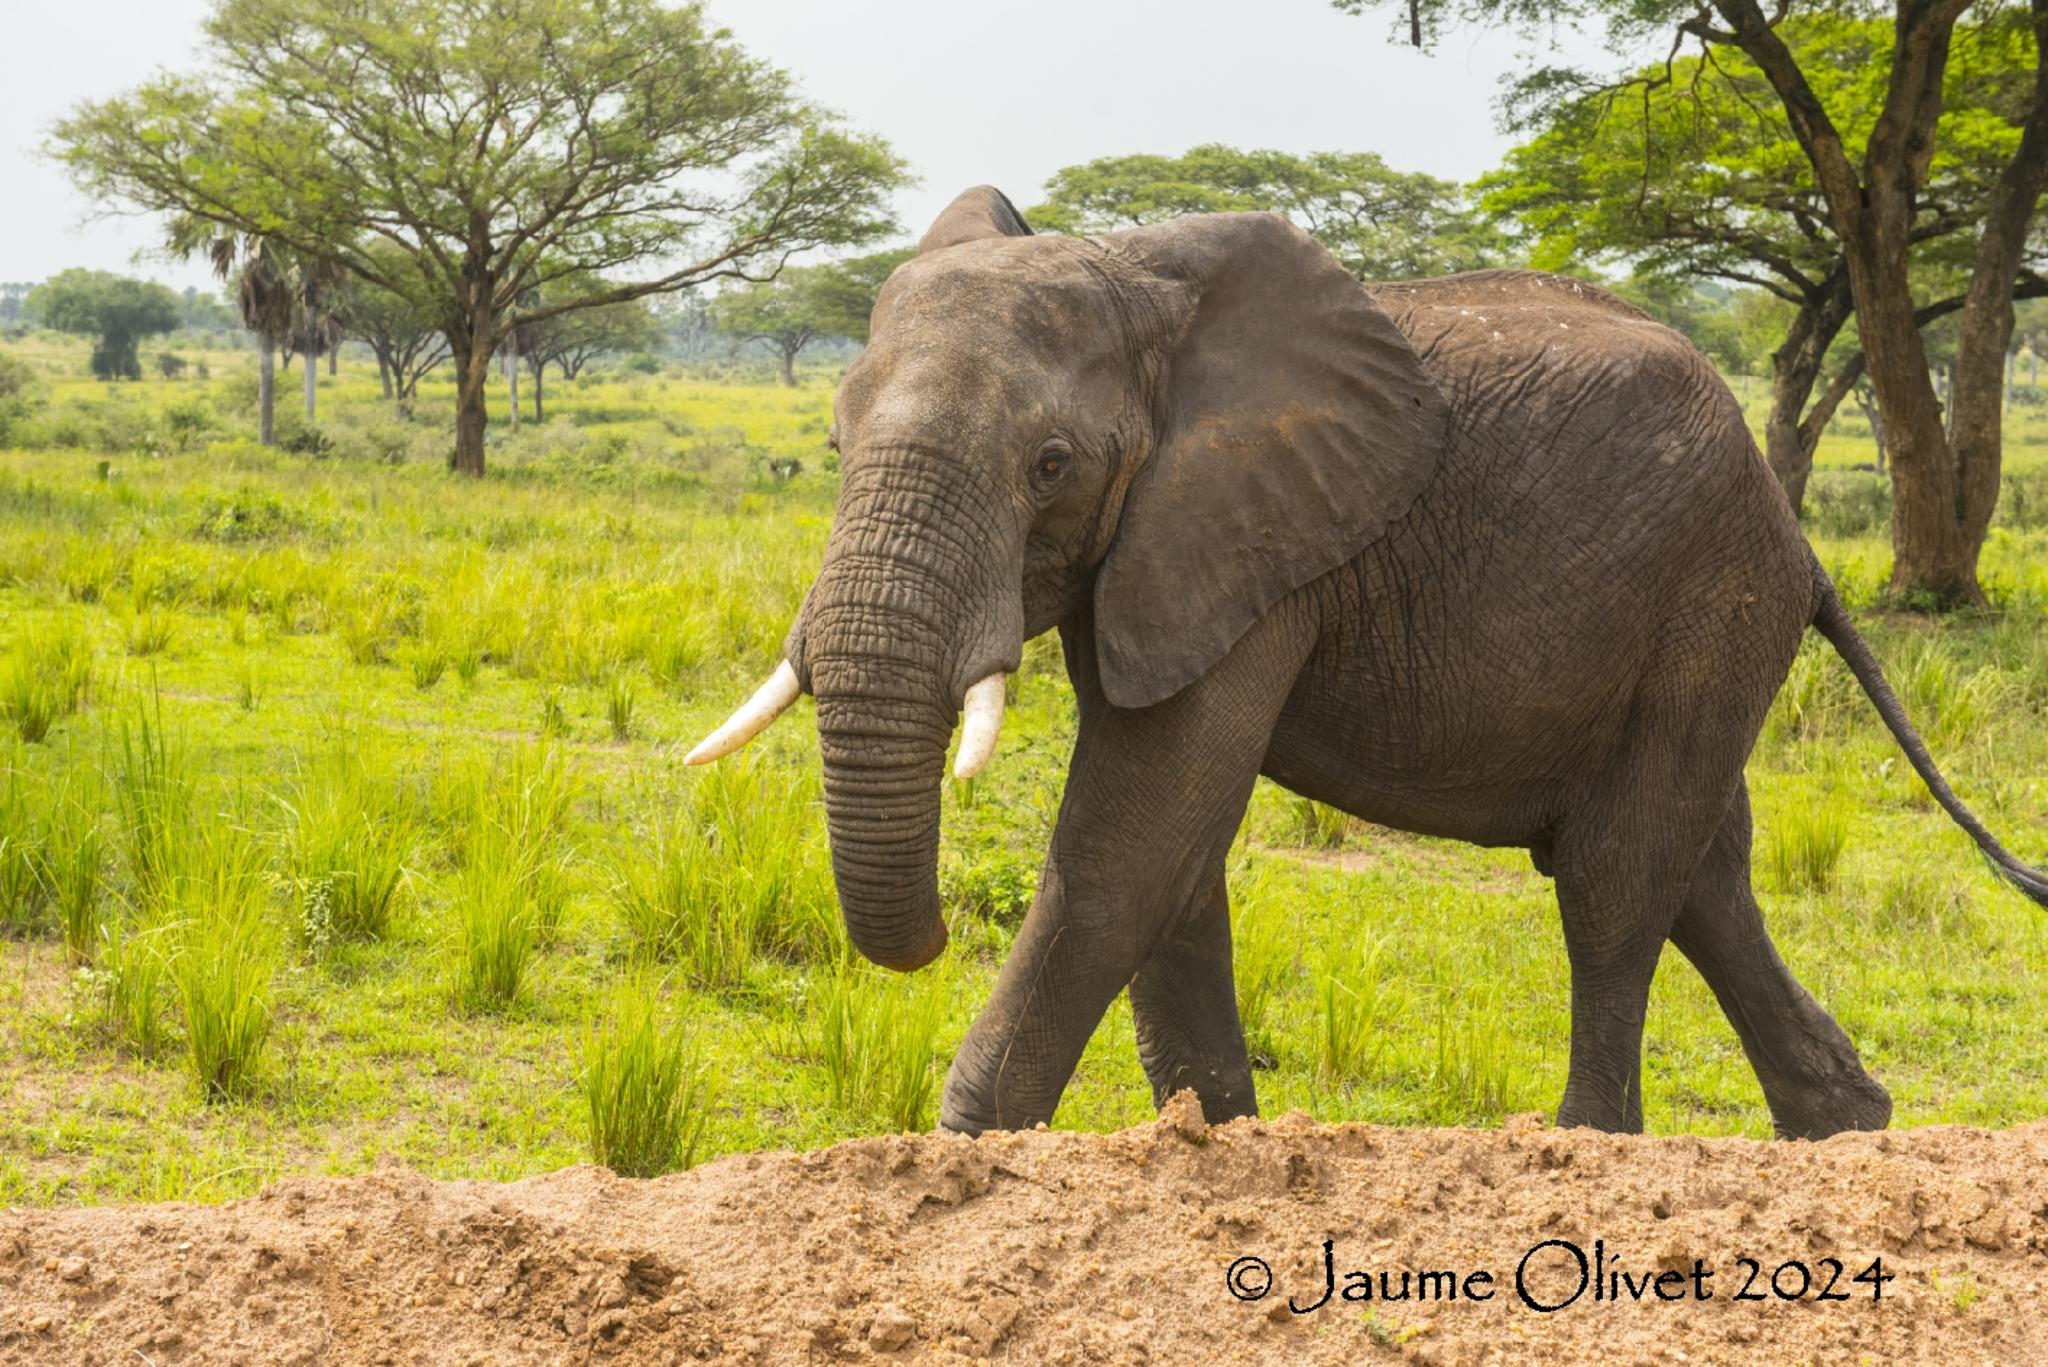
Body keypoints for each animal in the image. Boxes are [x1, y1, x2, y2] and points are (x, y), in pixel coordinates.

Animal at [688, 184, 2048, 1147]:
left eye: (1050, 465)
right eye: (834, 444)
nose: (919, 938)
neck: (1139, 282)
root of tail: (1800, 540)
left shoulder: (1257, 545)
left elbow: (1130, 836)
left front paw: (965, 1158)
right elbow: (1175, 850)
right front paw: (1212, 1142)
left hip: (1713, 600)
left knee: (1616, 878)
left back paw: (1586, 1145)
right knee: (1705, 874)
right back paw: (1845, 1130)